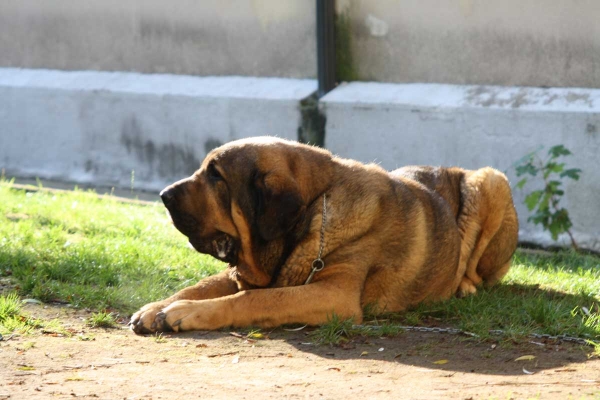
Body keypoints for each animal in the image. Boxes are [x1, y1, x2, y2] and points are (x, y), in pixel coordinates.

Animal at [130, 138, 516, 334]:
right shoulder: (245, 272)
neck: (317, 208)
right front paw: (157, 308)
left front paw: (182, 313)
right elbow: (203, 286)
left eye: (216, 176)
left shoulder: (334, 294)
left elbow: (253, 300)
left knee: (474, 270)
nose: (163, 195)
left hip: (491, 181)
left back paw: (464, 287)